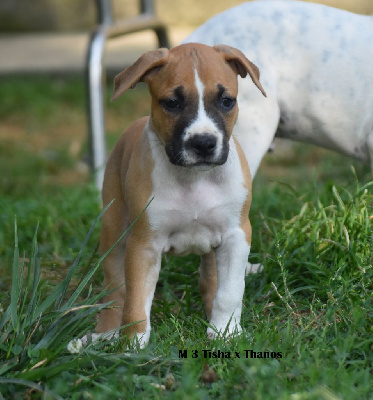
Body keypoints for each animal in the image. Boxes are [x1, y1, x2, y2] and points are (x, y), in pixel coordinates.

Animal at [92, 43, 266, 346]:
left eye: (227, 101)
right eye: (172, 103)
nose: (204, 143)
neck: (194, 179)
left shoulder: (236, 235)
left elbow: (229, 292)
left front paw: (226, 332)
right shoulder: (144, 244)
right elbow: (136, 300)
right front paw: (133, 344)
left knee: (211, 283)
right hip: (113, 230)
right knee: (114, 287)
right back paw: (105, 333)